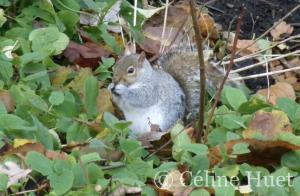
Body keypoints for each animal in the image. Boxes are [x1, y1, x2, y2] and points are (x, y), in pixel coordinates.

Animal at [108, 49, 244, 137]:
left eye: (131, 70)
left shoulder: (153, 89)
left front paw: (123, 91)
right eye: (116, 65)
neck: (139, 81)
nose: (115, 80)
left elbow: (142, 98)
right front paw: (111, 88)